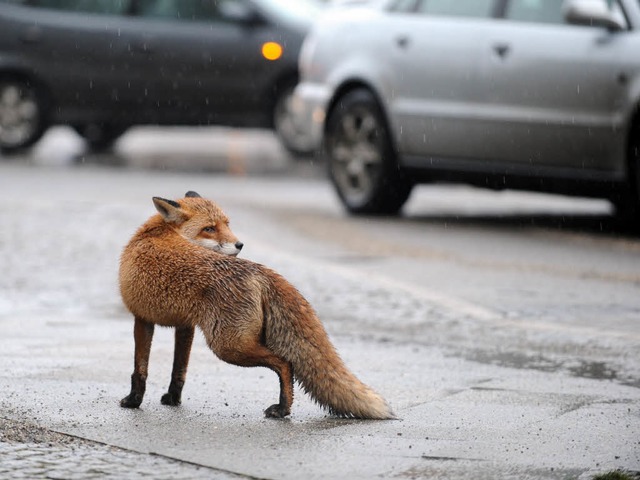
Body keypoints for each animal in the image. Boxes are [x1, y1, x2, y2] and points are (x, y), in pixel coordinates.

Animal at [117, 191, 392, 420]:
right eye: (209, 228)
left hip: (228, 346)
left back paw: (282, 409)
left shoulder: (141, 318)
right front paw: (173, 399)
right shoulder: (185, 326)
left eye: (226, 224)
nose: (240, 244)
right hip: (232, 342)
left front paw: (133, 401)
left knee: (285, 363)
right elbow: (179, 369)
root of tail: (259, 270)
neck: (157, 232)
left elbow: (139, 368)